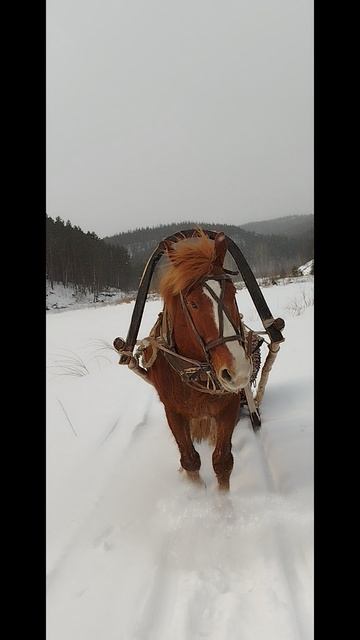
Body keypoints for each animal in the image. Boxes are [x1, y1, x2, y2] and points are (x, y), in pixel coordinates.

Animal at [141, 230, 256, 490]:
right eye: (193, 304)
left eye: (233, 293)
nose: (238, 371)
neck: (196, 370)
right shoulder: (173, 411)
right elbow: (190, 460)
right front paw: (197, 493)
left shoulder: (229, 406)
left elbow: (222, 461)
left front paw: (224, 502)